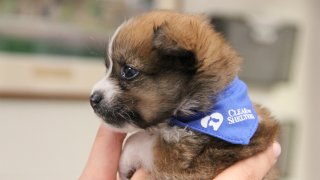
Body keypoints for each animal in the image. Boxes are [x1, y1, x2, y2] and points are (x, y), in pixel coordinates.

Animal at [90, 10, 280, 179]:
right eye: (108, 68)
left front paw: (124, 163)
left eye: (129, 71)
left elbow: (142, 142)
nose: (93, 99)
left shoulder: (191, 164)